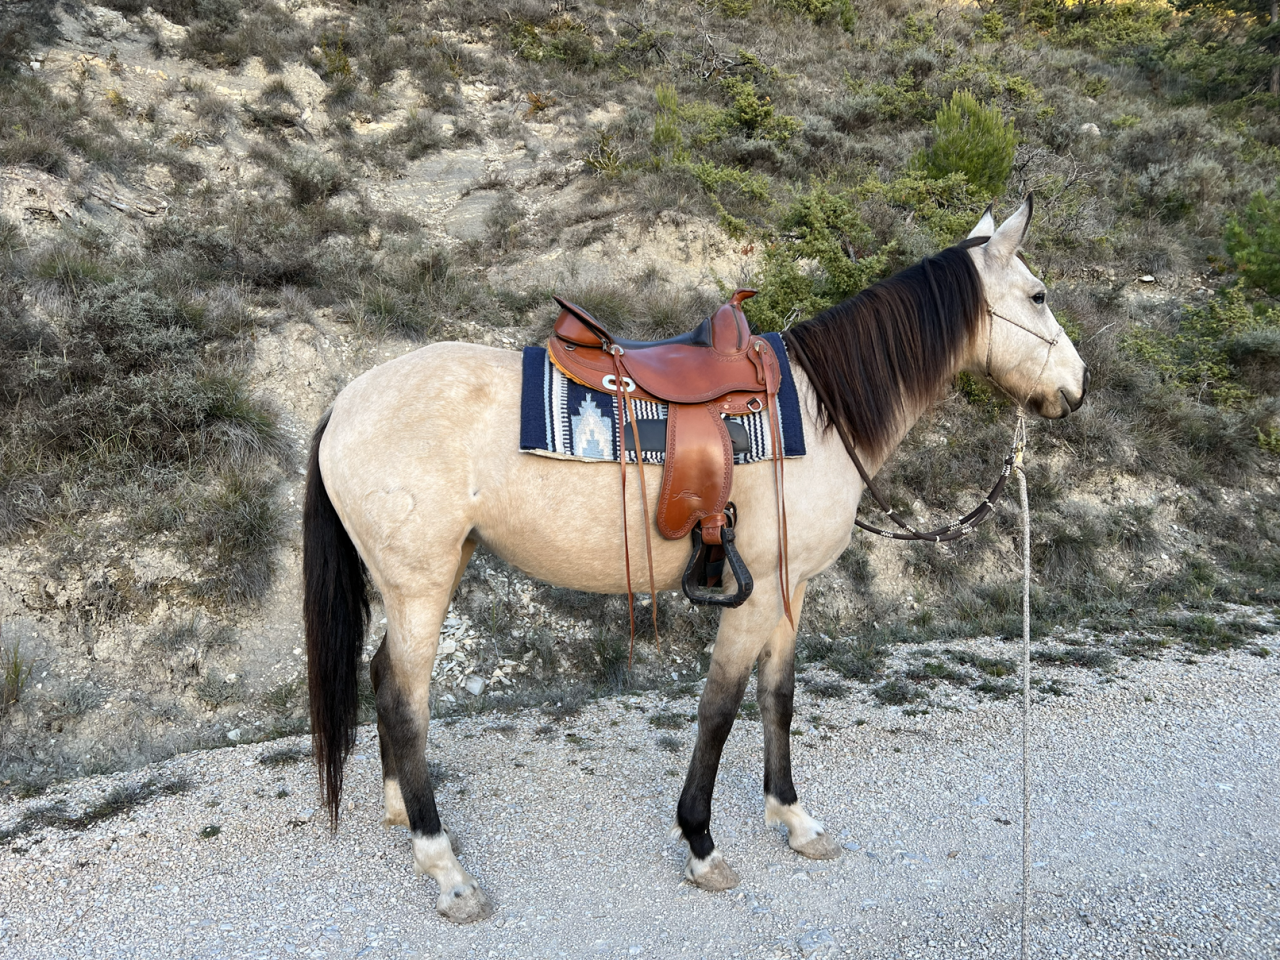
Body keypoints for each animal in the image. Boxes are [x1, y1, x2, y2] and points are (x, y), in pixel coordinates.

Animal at [302, 197, 1088, 923]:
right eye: (1038, 294)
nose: (1078, 387)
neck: (820, 413)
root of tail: (344, 403)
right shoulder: (759, 591)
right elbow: (719, 708)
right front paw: (701, 843)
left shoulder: (791, 587)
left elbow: (778, 696)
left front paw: (793, 819)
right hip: (421, 584)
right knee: (404, 700)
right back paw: (443, 866)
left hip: (429, 577)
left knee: (382, 676)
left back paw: (402, 813)